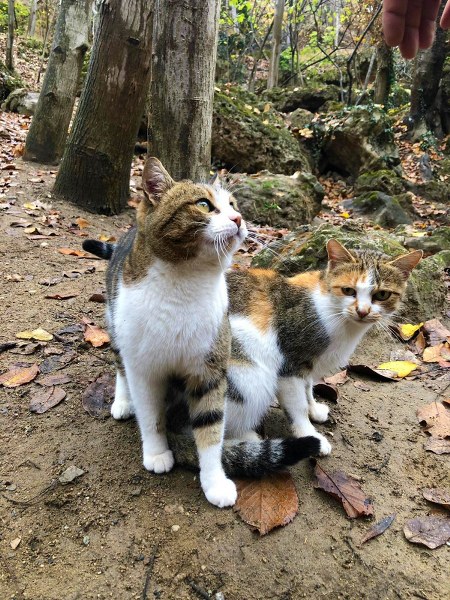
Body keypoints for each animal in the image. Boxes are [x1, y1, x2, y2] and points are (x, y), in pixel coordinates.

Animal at [83, 158, 324, 506]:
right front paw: (156, 453)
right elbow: (151, 415)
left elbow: (211, 428)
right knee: (119, 362)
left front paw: (215, 481)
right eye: (203, 205)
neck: (186, 286)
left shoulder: (209, 368)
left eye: (233, 205)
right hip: (117, 323)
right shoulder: (145, 368)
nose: (238, 219)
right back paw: (123, 400)